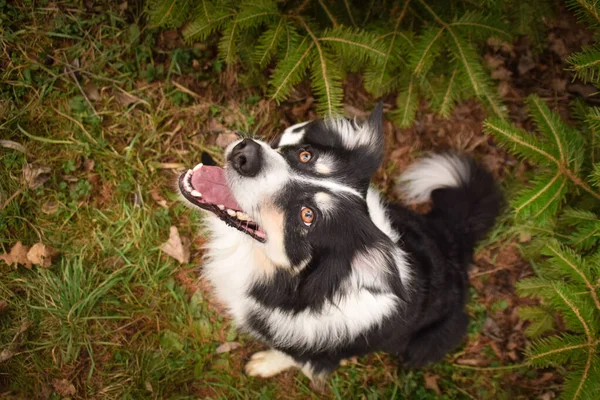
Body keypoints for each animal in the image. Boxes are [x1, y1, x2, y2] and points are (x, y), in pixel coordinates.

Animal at [177, 102, 502, 388]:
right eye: (305, 155)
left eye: (308, 216)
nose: (246, 153)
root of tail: (454, 238)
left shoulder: (321, 353)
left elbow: (293, 357)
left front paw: (265, 364)